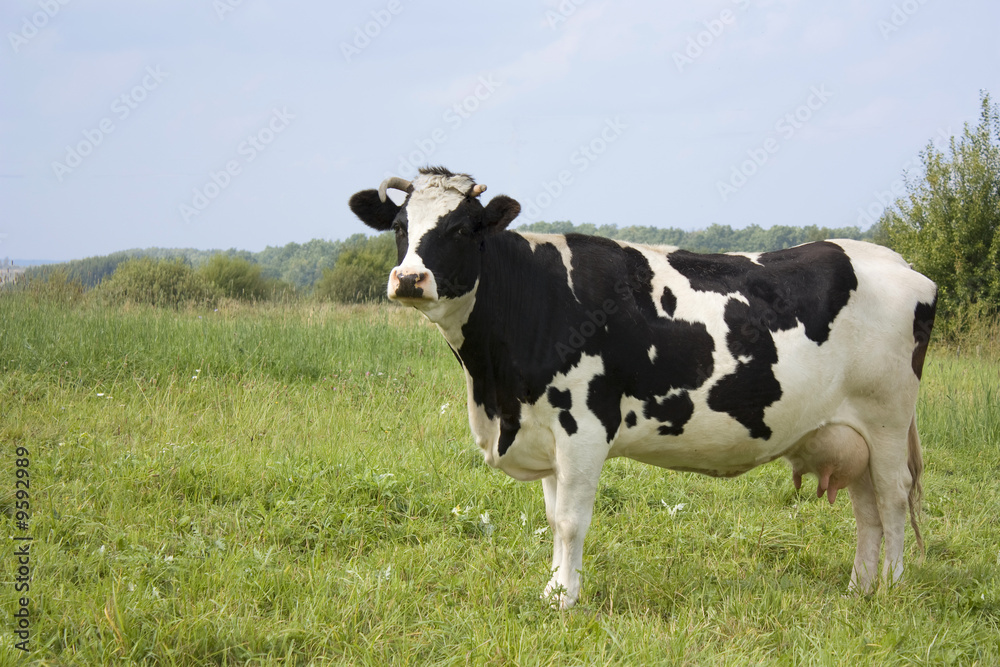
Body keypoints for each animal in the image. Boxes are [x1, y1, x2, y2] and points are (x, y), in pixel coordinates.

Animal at [350, 167, 936, 612]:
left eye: (463, 228)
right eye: (400, 225)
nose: (409, 278)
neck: (495, 392)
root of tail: (898, 262)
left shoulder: (583, 426)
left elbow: (571, 520)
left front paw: (564, 599)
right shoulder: (545, 430)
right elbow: (553, 517)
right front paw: (554, 588)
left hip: (886, 419)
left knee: (892, 498)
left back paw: (891, 589)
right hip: (852, 430)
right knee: (867, 508)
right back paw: (859, 589)